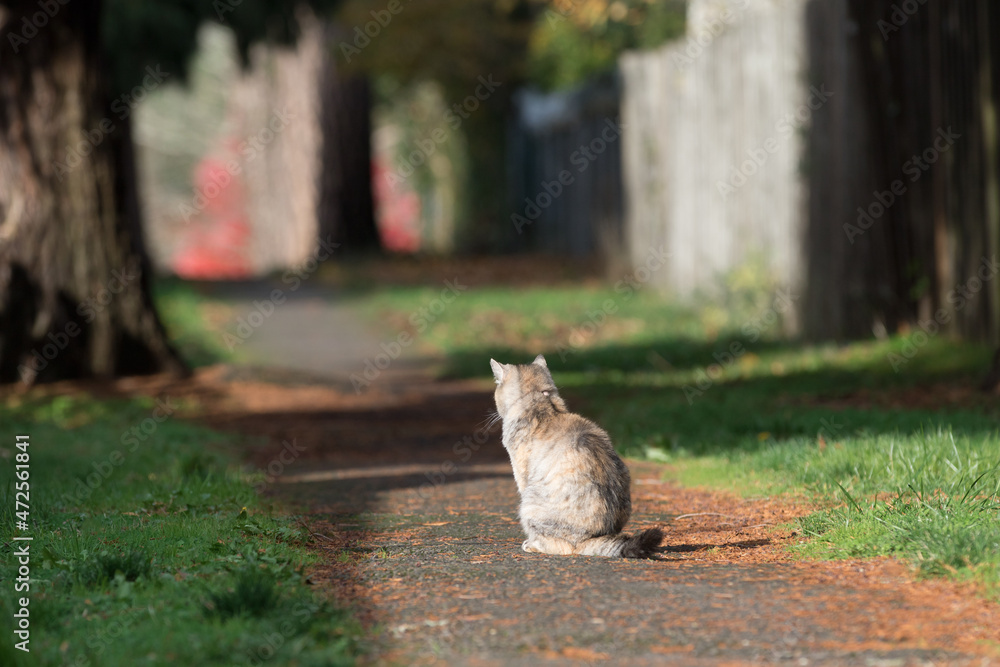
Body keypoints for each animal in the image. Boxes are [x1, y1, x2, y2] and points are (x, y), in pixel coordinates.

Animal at [486, 354, 660, 560]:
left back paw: (532, 544)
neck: (540, 401)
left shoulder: (521, 474)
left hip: (529, 505)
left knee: (562, 547)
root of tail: (592, 538)